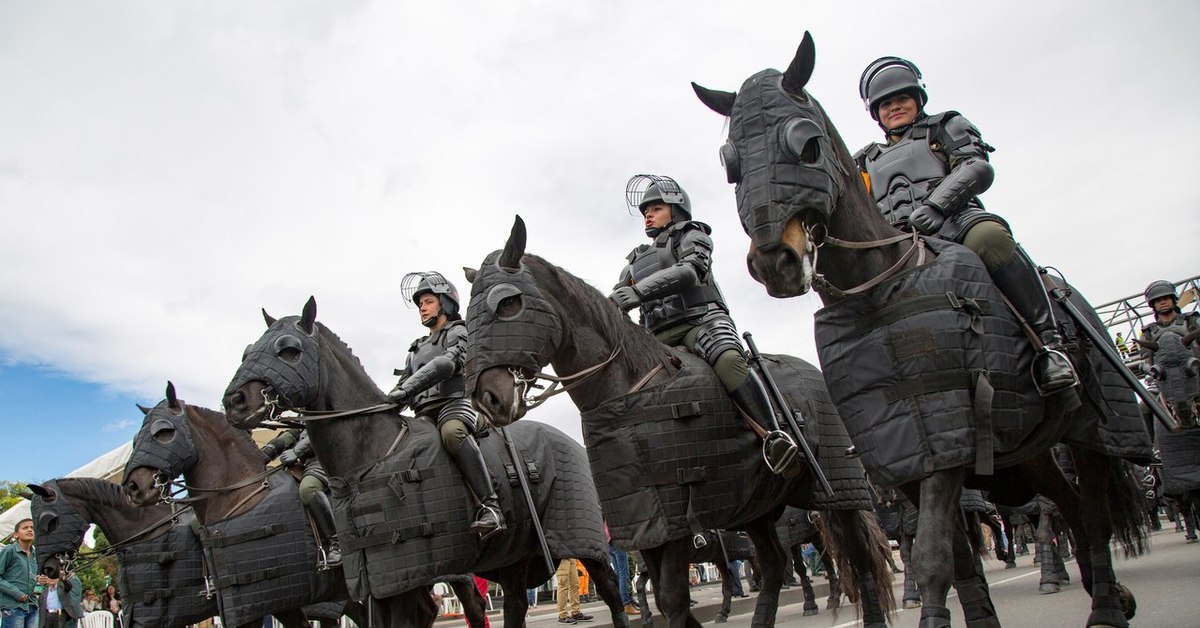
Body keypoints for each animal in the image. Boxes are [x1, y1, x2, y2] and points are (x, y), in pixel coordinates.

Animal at [120, 384, 374, 628]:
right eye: (135, 439)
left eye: (164, 432)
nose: (134, 488)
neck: (242, 493)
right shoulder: (276, 602)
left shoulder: (256, 599)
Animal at [216, 300, 628, 628]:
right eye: (248, 350)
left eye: (289, 350)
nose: (235, 401)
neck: (371, 453)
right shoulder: (377, 583)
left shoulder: (401, 578)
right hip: (514, 558)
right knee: (511, 605)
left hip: (583, 541)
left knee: (611, 591)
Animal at [463, 217, 897, 628]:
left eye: (508, 303)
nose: (488, 398)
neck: (627, 389)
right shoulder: (647, 525)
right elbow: (661, 594)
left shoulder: (675, 523)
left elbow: (672, 599)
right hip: (757, 505)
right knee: (774, 565)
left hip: (837, 491)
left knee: (859, 555)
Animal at [696, 33, 1152, 628]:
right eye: (731, 163)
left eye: (808, 145)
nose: (776, 260)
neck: (879, 289)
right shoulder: (911, 457)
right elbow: (955, 557)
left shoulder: (946, 442)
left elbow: (934, 554)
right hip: (1029, 451)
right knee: (1069, 508)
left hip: (1093, 434)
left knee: (1093, 512)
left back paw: (1105, 606)